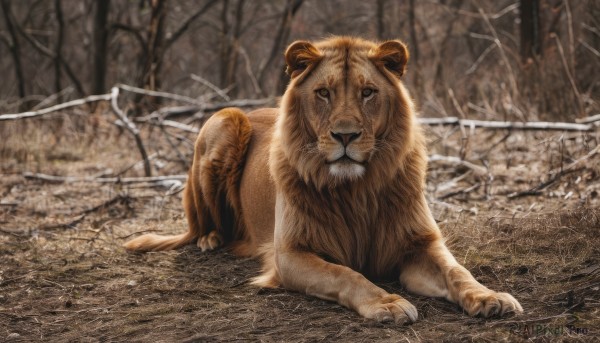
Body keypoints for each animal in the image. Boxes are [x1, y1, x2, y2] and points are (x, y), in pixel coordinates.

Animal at [124, 36, 524, 324]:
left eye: (368, 92)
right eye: (323, 93)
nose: (345, 136)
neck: (356, 189)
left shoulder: (419, 244)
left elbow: (457, 271)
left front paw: (489, 297)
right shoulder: (290, 255)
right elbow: (345, 275)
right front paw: (388, 304)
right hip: (224, 120)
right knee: (197, 227)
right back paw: (211, 239)